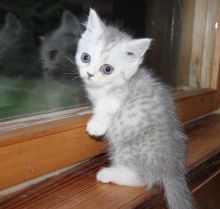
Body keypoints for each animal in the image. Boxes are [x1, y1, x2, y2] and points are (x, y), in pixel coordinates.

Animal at [75, 9, 194, 209]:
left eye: (107, 69)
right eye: (86, 57)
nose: (89, 74)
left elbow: (106, 108)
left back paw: (108, 174)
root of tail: (172, 167)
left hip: (128, 149)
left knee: (142, 178)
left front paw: (96, 126)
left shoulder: (118, 95)